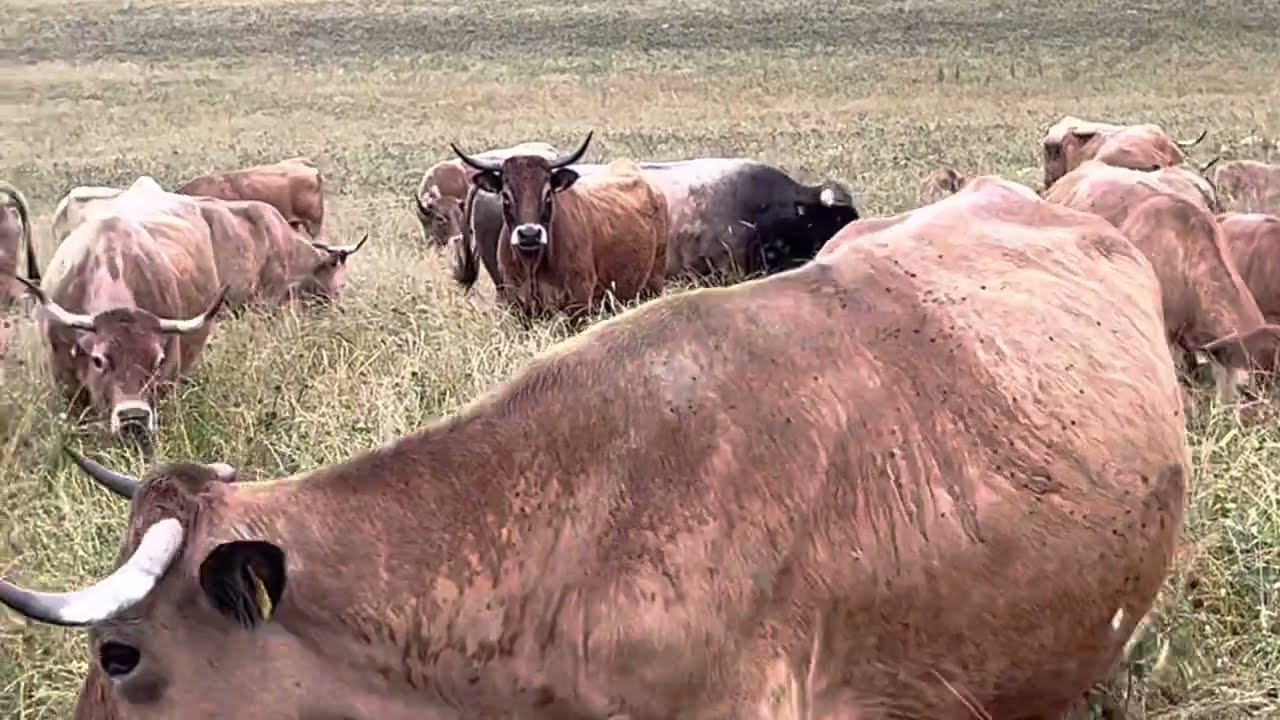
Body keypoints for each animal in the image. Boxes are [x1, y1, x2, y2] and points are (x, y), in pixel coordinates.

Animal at [451, 132, 669, 319]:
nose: (529, 234)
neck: (533, 263)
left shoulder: (578, 304)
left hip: (653, 284)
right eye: (505, 195)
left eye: (548, 194)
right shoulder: (517, 305)